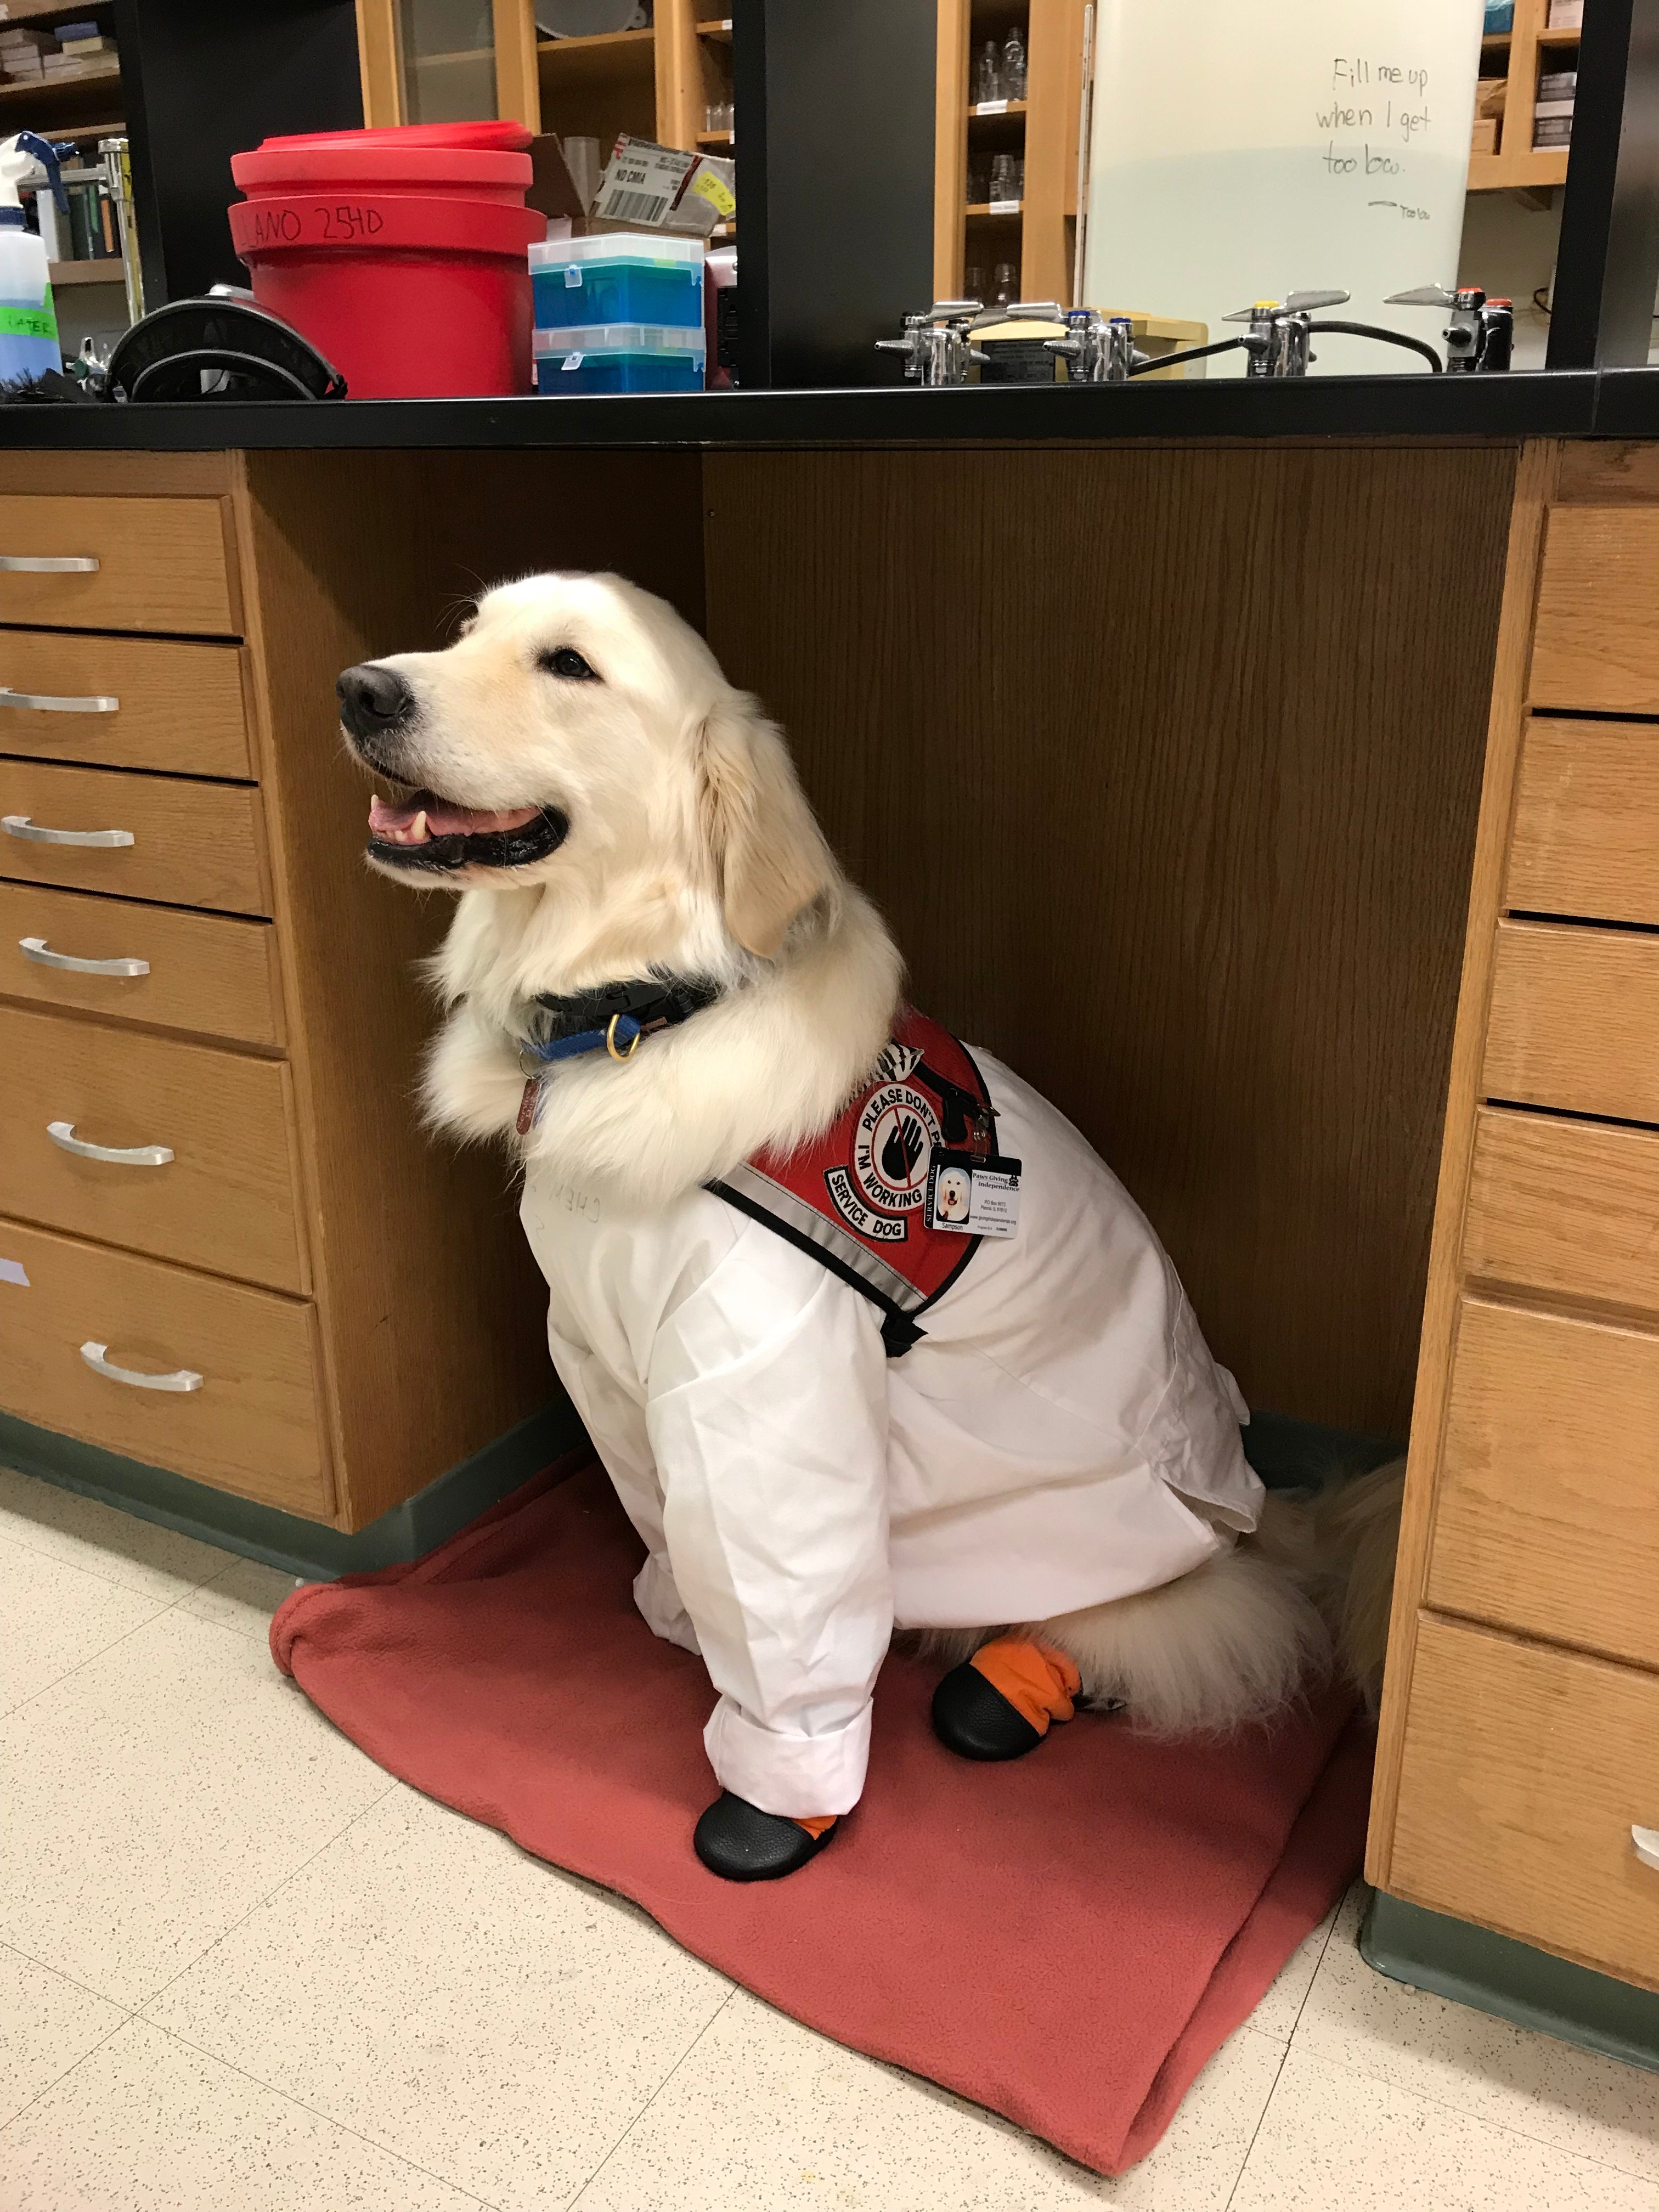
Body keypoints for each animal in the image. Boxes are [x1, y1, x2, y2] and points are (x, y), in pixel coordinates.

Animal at [338, 575, 1407, 1884]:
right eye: (466, 629)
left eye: (570, 666)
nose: (361, 690)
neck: (639, 1012)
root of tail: (1258, 1506)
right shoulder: (601, 1354)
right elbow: (670, 1518)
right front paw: (678, 1614)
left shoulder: (763, 1386)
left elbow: (782, 1594)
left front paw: (777, 1796)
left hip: (1101, 1541)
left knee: (1173, 1625)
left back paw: (1017, 1678)